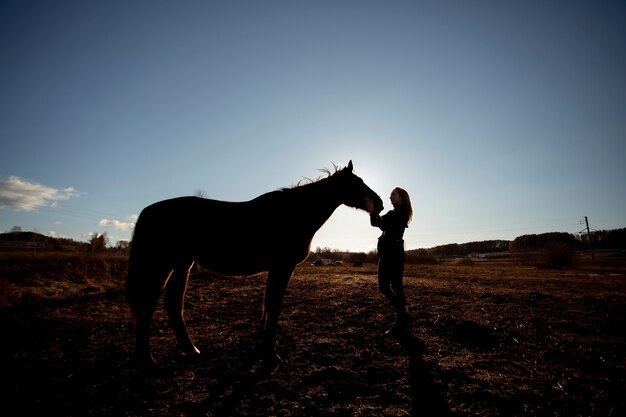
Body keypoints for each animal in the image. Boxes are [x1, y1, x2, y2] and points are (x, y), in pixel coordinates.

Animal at [125, 161, 380, 366]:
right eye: (358, 183)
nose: (379, 204)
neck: (293, 213)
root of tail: (149, 211)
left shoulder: (277, 269)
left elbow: (267, 306)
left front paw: (263, 348)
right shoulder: (282, 267)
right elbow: (274, 306)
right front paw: (271, 354)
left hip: (182, 264)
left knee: (173, 304)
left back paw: (189, 349)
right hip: (161, 265)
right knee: (147, 305)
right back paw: (148, 360)